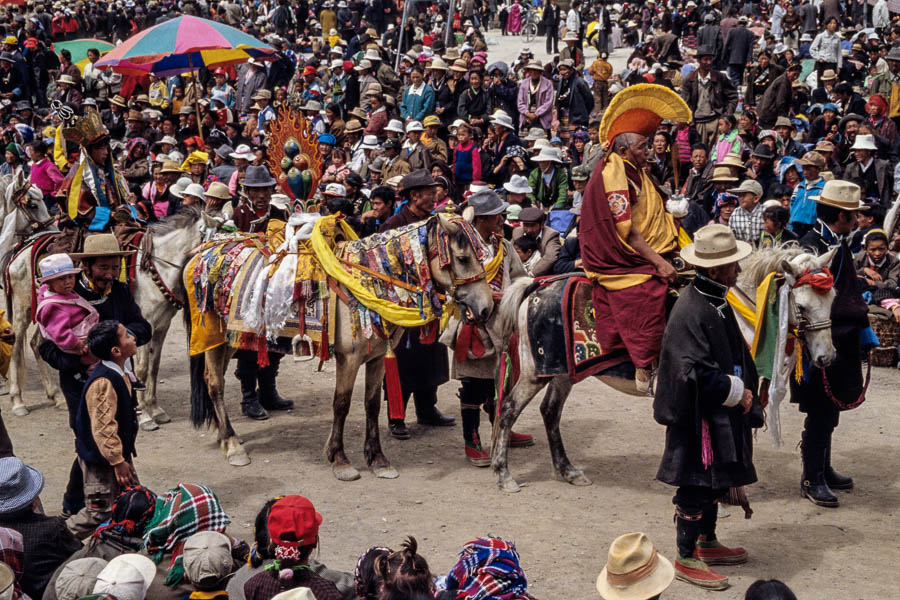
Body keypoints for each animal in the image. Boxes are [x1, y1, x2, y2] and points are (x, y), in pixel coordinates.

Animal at [184, 211, 492, 478]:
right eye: (462, 258)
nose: (486, 308)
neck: (366, 281)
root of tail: (202, 251)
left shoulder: (376, 358)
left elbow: (371, 404)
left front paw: (378, 459)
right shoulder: (349, 358)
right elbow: (341, 404)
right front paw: (339, 459)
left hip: (228, 339)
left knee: (213, 380)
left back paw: (222, 434)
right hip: (212, 336)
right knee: (215, 383)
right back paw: (233, 445)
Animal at [488, 244, 840, 492]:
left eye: (832, 299)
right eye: (801, 306)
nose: (827, 357)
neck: (733, 309)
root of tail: (535, 285)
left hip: (564, 372)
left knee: (550, 412)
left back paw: (568, 471)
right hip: (534, 374)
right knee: (508, 410)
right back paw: (503, 474)